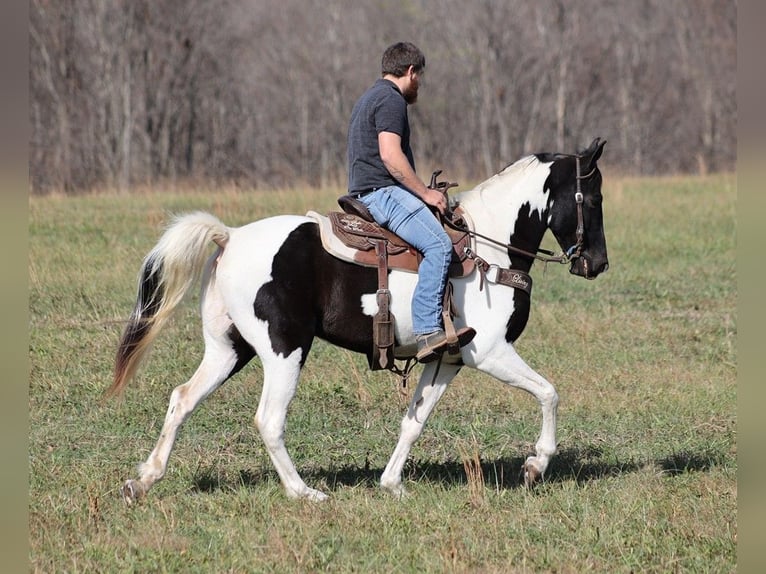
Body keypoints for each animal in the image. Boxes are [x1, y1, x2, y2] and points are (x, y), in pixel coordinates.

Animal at [109, 136, 612, 504]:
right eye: (594, 197)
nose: (597, 264)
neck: (487, 249)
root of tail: (229, 236)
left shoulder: (446, 359)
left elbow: (414, 420)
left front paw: (392, 484)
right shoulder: (490, 353)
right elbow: (548, 392)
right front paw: (535, 465)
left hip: (229, 349)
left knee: (182, 399)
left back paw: (144, 479)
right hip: (285, 349)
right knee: (269, 419)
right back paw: (305, 493)